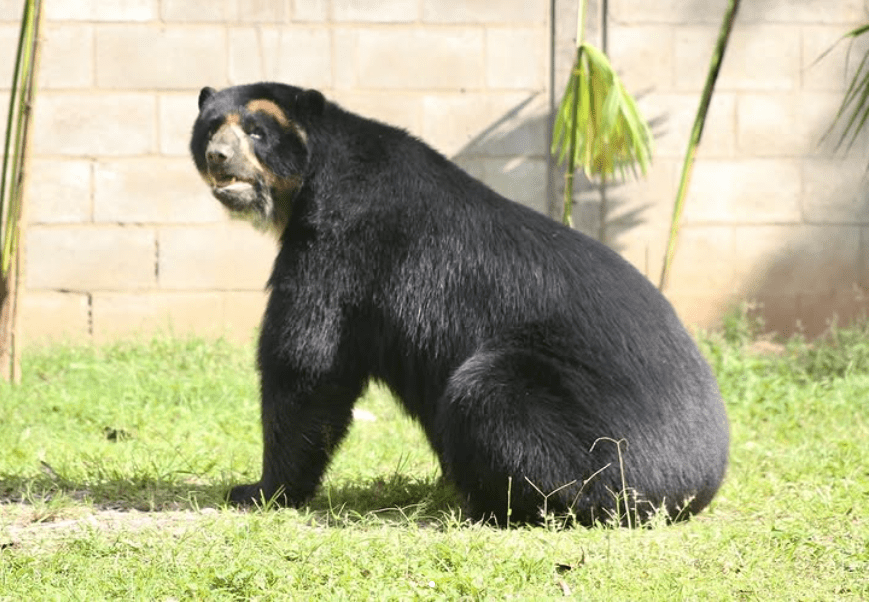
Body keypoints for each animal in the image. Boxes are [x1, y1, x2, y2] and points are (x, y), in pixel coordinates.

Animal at [188, 82, 724, 524]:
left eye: (257, 132)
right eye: (211, 127)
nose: (218, 157)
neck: (314, 177)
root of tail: (703, 478)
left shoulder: (336, 247)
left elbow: (305, 362)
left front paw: (258, 491)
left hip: (592, 431)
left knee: (488, 397)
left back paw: (493, 505)